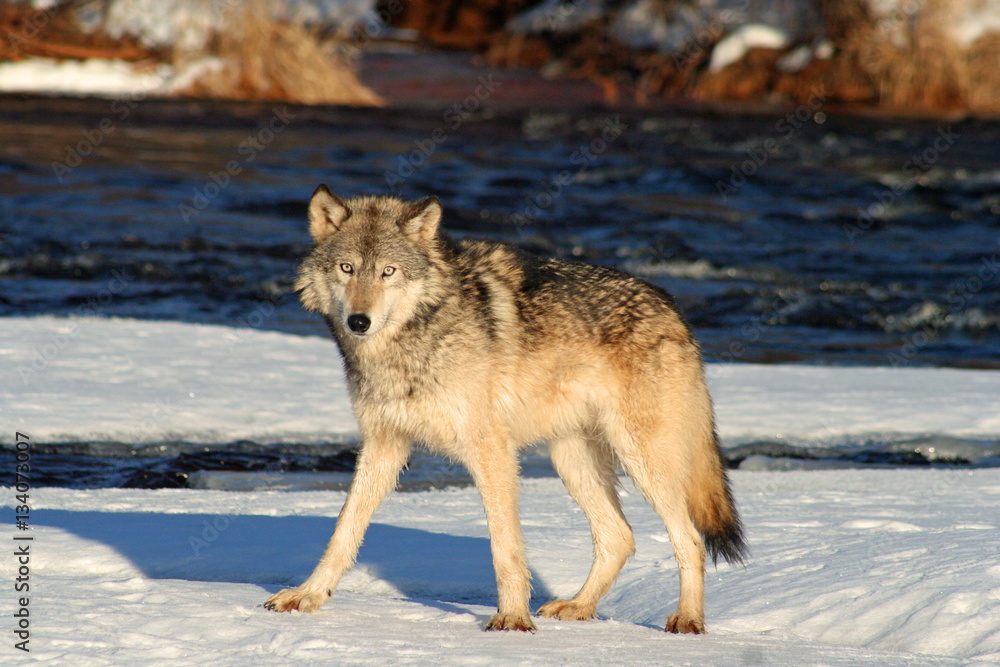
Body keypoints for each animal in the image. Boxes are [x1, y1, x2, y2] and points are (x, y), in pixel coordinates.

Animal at [264, 186, 747, 633]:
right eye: (346, 269)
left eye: (388, 272)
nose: (359, 322)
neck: (417, 338)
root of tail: (673, 308)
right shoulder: (384, 443)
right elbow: (343, 532)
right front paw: (308, 596)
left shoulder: (491, 449)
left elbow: (505, 546)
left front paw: (513, 619)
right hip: (572, 460)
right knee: (619, 538)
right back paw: (578, 607)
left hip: (641, 458)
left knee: (690, 540)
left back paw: (688, 619)